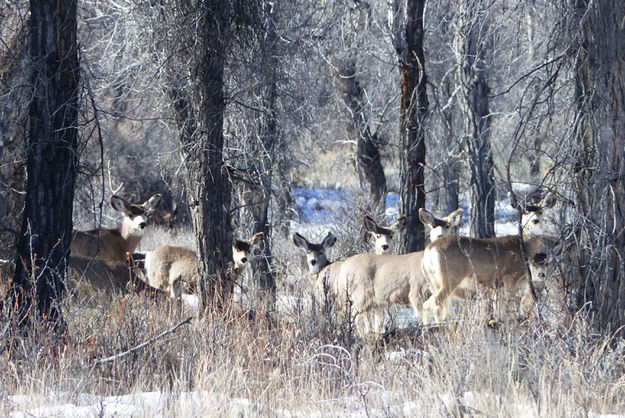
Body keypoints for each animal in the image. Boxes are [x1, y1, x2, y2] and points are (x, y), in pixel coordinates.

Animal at [420, 191, 556, 324]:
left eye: (540, 212)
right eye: (524, 213)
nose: (535, 221)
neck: (523, 248)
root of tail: (430, 250)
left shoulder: (497, 285)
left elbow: (498, 309)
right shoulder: (509, 277)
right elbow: (508, 305)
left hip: (433, 281)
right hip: (450, 277)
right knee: (431, 303)